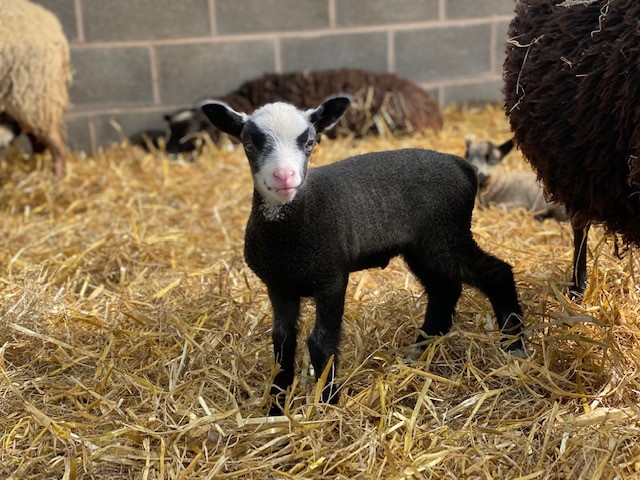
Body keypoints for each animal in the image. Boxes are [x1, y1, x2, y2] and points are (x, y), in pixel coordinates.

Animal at [200, 96, 525, 415]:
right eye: (249, 144)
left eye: (309, 143)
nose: (284, 176)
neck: (291, 233)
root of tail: (462, 166)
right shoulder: (278, 286)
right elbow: (282, 341)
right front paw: (276, 407)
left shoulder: (331, 278)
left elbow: (321, 341)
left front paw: (329, 405)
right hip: (423, 246)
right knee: (444, 290)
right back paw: (422, 347)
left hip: (446, 234)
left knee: (495, 272)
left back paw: (514, 345)